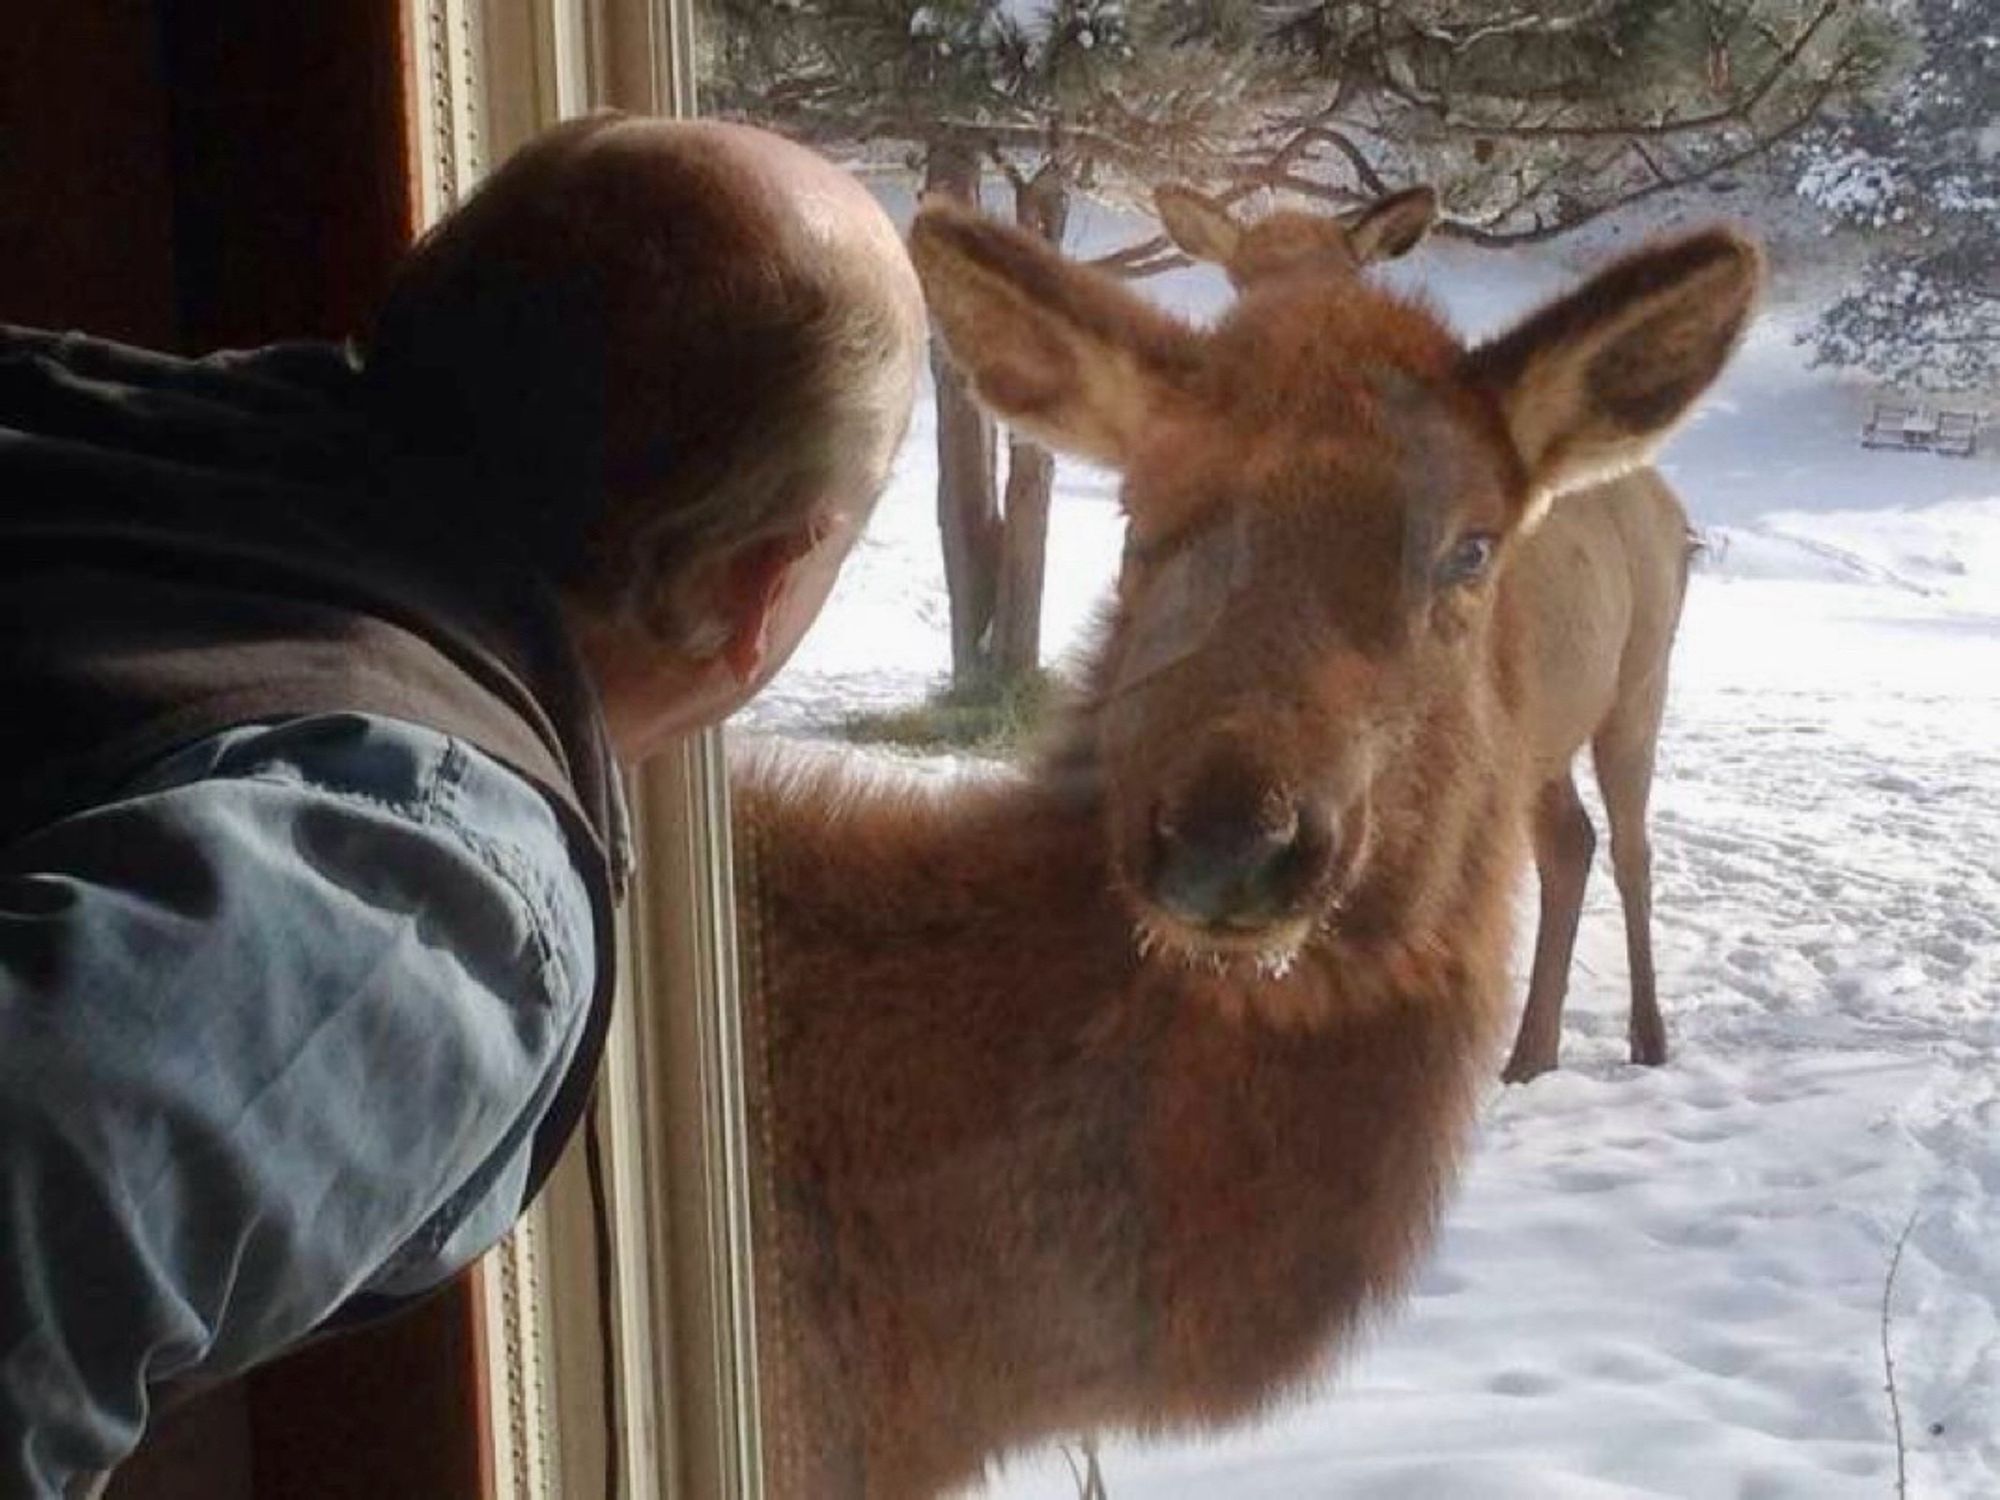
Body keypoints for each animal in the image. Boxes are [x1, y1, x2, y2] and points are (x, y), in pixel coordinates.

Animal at [1160, 188, 1704, 1088]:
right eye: (1238, 279)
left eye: (1345, 282)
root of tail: (1671, 507)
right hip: (1543, 733)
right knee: (1570, 842)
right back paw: (1532, 1053)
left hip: (1640, 684)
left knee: (1632, 848)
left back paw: (1647, 1040)